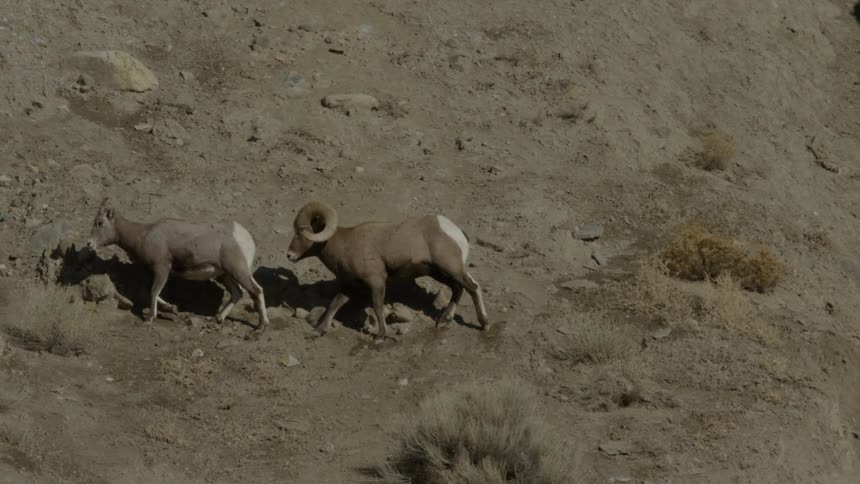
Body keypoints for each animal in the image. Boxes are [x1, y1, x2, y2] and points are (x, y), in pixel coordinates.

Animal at [86, 198, 270, 330]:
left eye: (100, 222)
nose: (89, 244)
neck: (144, 235)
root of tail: (246, 237)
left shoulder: (162, 269)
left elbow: (153, 291)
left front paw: (150, 318)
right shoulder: (159, 272)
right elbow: (153, 292)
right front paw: (172, 308)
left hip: (238, 271)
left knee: (256, 290)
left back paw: (261, 327)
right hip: (225, 275)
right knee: (237, 293)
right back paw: (217, 319)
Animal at [286, 201, 490, 340]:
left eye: (301, 231)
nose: (289, 255)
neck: (345, 244)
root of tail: (456, 232)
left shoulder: (376, 282)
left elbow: (377, 306)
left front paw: (380, 336)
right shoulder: (349, 286)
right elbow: (334, 305)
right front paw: (318, 330)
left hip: (450, 268)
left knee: (473, 287)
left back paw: (484, 324)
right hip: (439, 273)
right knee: (458, 288)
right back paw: (443, 321)